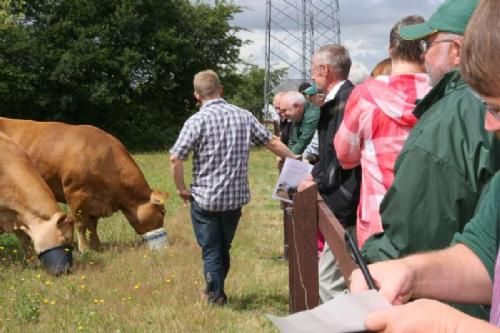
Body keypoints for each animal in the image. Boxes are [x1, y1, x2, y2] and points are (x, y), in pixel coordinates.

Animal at [0, 115, 169, 250]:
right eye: (162, 212)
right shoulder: (76, 194)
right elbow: (81, 224)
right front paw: (84, 249)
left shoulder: (95, 202)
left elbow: (93, 226)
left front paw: (97, 246)